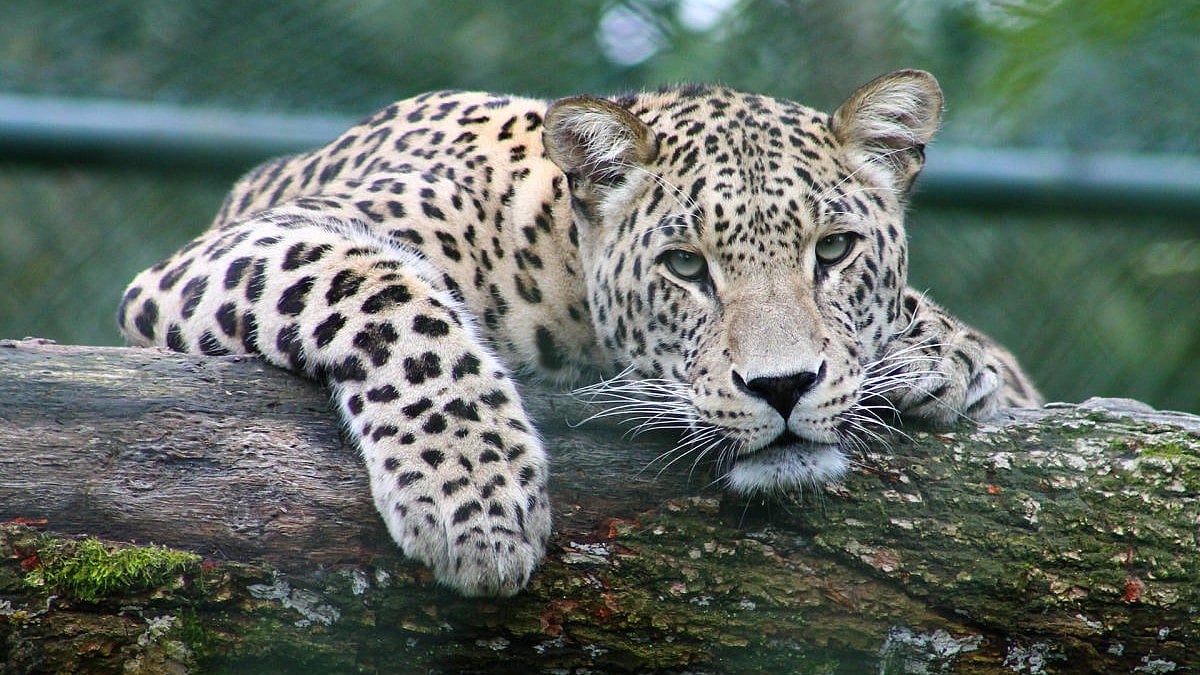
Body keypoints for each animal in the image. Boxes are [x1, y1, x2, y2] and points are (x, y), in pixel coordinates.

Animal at [117, 69, 1042, 597]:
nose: (782, 387)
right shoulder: (231, 251)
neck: (556, 261)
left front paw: (944, 354)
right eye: (685, 266)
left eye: (836, 250)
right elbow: (385, 292)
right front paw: (475, 496)